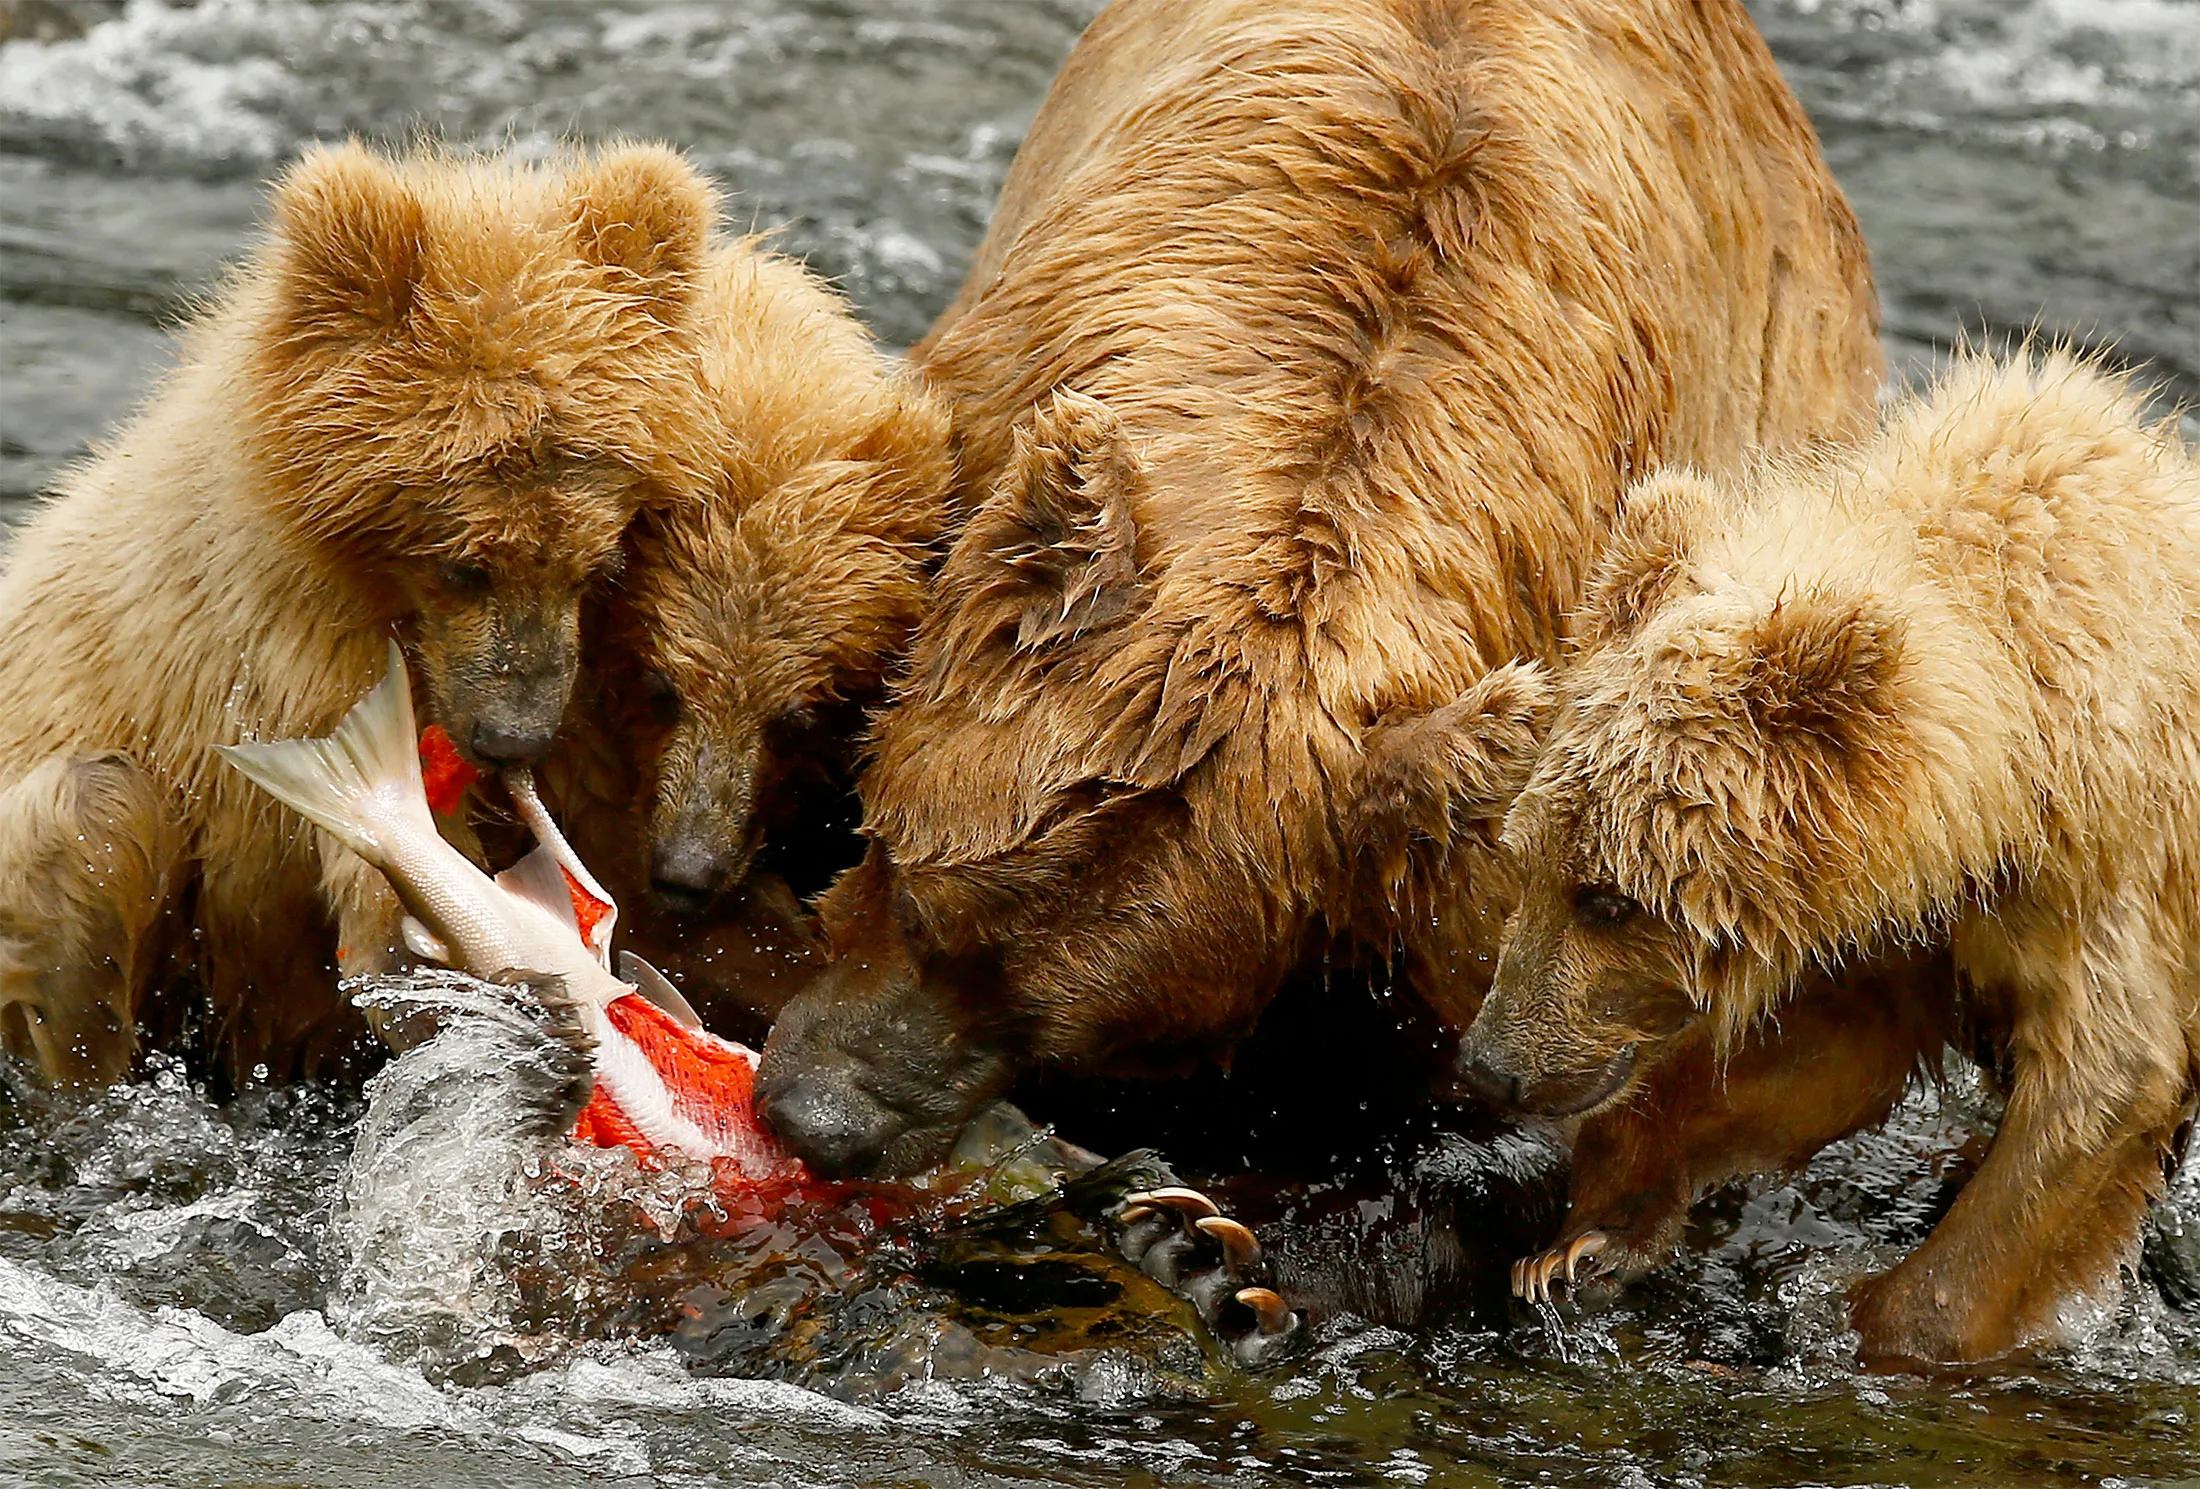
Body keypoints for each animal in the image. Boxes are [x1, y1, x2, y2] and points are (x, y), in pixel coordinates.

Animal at [0, 142, 732, 1086]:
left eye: (593, 561)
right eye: (466, 562)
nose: (516, 737)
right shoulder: (290, 654)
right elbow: (380, 900)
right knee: (92, 822)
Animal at [1456, 352, 2200, 1366]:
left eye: (1608, 897)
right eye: (1524, 856)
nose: (1487, 1064)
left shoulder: (2099, 864)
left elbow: (2101, 1088)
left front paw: (1875, 1325)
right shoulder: (1905, 917)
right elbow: (1816, 1052)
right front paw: (1585, 1242)